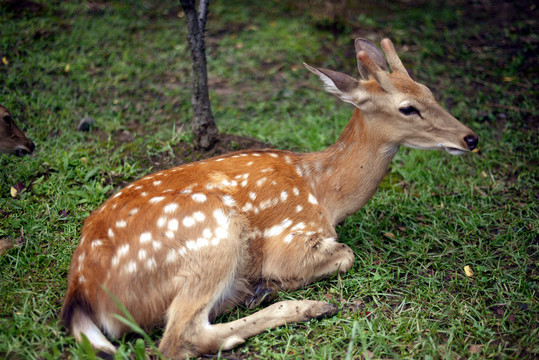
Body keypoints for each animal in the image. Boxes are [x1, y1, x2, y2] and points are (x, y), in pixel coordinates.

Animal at [61, 38, 478, 358]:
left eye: (430, 92)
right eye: (408, 108)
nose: (470, 138)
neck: (324, 192)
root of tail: (81, 290)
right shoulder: (293, 235)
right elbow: (346, 255)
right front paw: (274, 283)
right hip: (213, 237)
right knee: (181, 338)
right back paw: (299, 304)